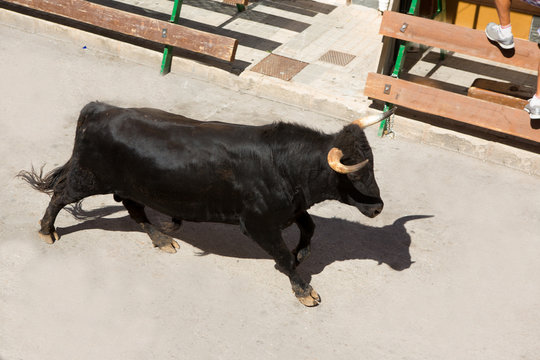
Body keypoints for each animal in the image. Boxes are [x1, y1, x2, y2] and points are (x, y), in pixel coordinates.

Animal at [21, 101, 394, 306]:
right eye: (358, 174)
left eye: (373, 165)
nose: (378, 208)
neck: (287, 164)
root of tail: (100, 109)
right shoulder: (258, 223)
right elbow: (286, 256)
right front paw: (303, 290)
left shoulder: (290, 210)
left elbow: (310, 227)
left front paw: (302, 254)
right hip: (89, 178)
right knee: (60, 195)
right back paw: (47, 230)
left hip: (131, 186)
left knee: (134, 208)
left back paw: (162, 238)